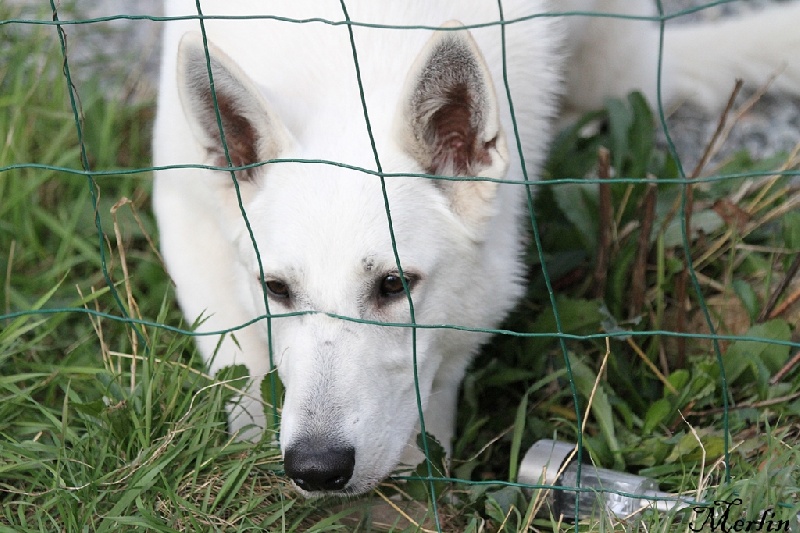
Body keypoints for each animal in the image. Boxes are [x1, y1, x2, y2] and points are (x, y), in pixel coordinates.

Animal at [155, 1, 800, 494]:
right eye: (277, 289)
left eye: (394, 285)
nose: (315, 470)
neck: (346, 57)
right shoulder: (185, 218)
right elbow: (239, 360)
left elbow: (440, 373)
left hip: (609, 61)